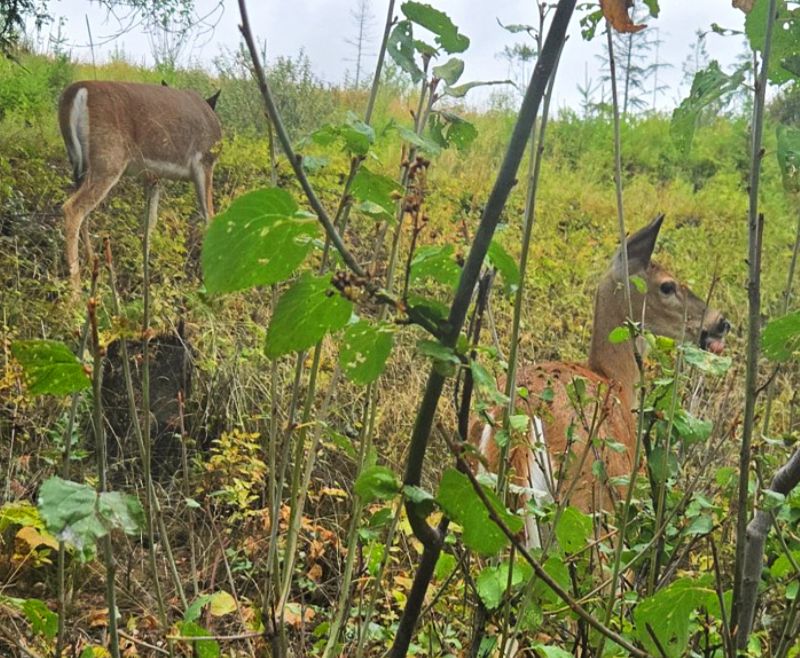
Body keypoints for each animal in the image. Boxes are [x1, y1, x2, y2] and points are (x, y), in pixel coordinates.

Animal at [58, 80, 223, 290]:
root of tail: (77, 90)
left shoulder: (152, 176)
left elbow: (150, 221)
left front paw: (143, 264)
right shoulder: (205, 162)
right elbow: (209, 216)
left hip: (79, 163)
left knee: (83, 211)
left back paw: (93, 266)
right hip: (109, 159)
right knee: (72, 209)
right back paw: (77, 290)